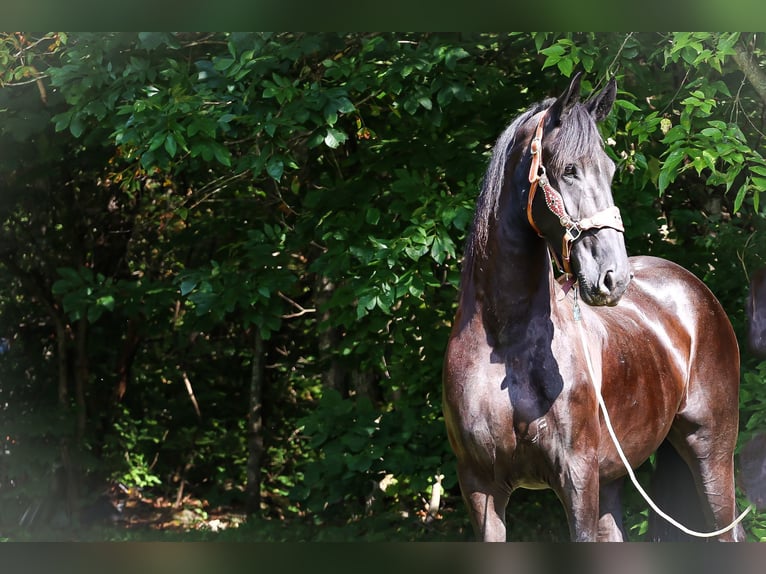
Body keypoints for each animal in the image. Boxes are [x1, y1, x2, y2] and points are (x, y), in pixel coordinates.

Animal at [442, 73, 745, 542]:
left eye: (611, 170)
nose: (613, 277)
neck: (507, 340)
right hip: (614, 476)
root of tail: (697, 292)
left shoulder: (577, 477)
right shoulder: (480, 486)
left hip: (710, 451)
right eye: (569, 170)